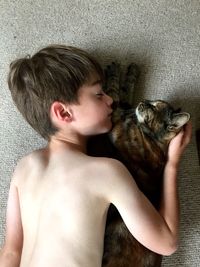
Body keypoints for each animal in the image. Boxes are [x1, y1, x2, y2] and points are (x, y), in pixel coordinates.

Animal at [88, 63, 191, 267]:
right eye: (151, 101)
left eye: (155, 106)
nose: (143, 101)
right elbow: (123, 96)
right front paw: (131, 73)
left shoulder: (114, 118)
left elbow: (115, 93)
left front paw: (117, 72)